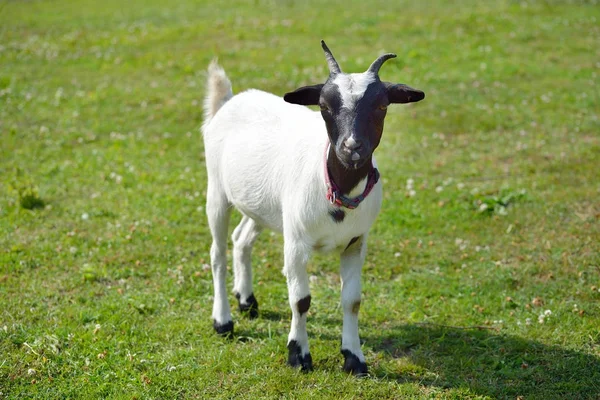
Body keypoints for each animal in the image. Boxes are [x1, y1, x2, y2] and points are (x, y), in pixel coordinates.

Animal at [200, 41, 422, 376]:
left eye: (382, 106)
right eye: (324, 106)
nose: (352, 147)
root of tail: (229, 100)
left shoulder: (356, 242)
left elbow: (352, 300)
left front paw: (354, 358)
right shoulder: (296, 243)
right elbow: (300, 300)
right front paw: (298, 355)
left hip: (265, 205)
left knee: (242, 239)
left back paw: (247, 300)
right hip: (217, 191)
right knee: (218, 254)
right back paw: (223, 321)